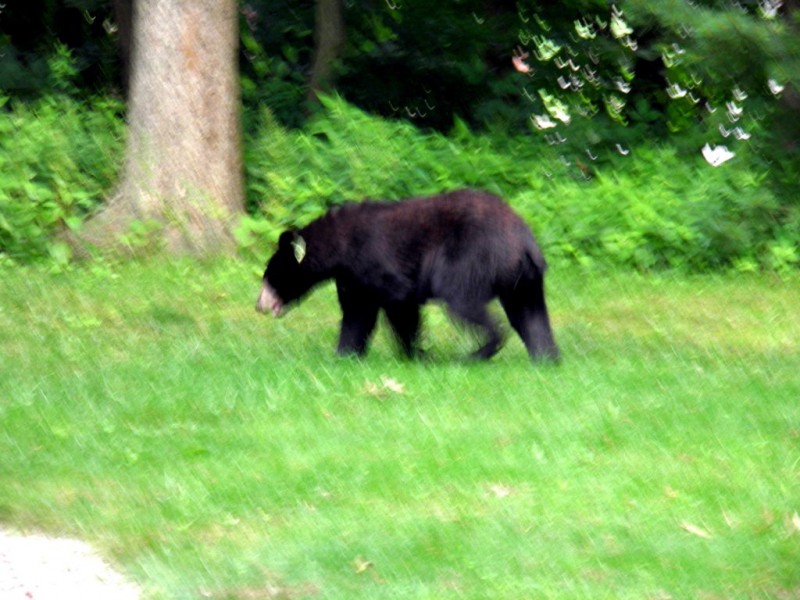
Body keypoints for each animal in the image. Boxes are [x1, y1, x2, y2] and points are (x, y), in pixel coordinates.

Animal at [253, 190, 560, 360]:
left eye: (268, 277)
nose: (259, 305)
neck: (340, 247)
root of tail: (524, 241)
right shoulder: (354, 279)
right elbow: (357, 315)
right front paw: (344, 354)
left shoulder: (375, 262)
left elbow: (400, 307)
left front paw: (416, 354)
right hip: (524, 280)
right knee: (530, 314)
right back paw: (546, 357)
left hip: (471, 259)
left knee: (463, 302)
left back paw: (477, 353)